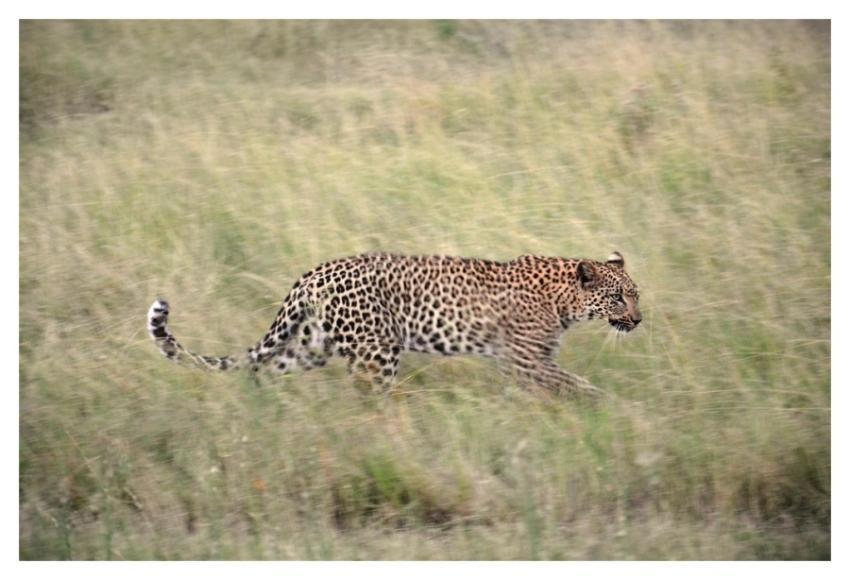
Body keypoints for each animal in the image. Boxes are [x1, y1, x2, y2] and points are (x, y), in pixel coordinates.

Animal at [147, 251, 641, 397]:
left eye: (636, 294)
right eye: (619, 296)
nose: (638, 320)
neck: (565, 300)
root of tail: (315, 272)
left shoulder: (528, 363)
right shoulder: (525, 361)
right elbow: (572, 383)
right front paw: (602, 403)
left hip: (311, 345)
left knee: (266, 370)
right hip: (376, 352)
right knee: (370, 398)